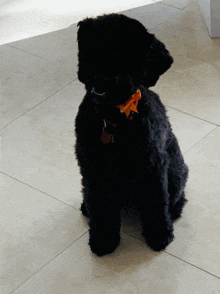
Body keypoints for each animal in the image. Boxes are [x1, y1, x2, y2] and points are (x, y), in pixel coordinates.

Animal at [75, 13, 188, 256]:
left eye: (129, 56)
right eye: (97, 46)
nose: (103, 78)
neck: (112, 119)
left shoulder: (152, 168)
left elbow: (156, 203)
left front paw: (159, 236)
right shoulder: (93, 170)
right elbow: (101, 207)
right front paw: (103, 240)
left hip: (175, 173)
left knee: (175, 197)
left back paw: (173, 212)